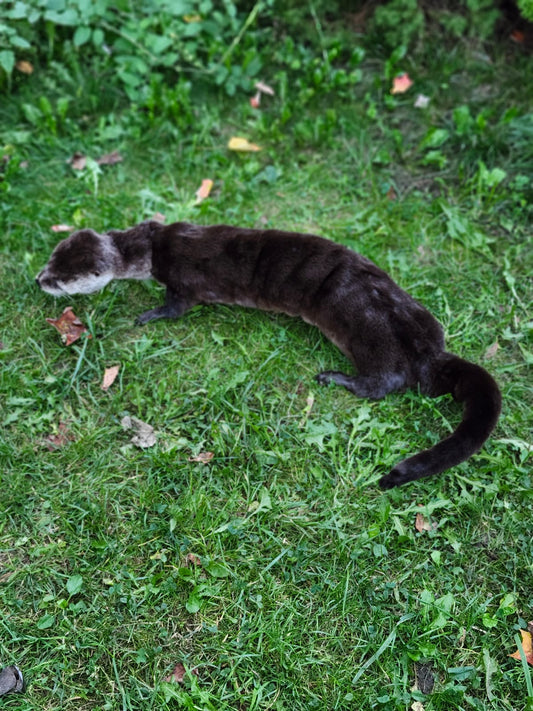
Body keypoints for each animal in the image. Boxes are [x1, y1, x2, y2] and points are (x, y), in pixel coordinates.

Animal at [36, 220, 501, 488]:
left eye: (61, 280)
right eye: (52, 259)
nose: (38, 280)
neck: (154, 246)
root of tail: (428, 351)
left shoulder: (183, 283)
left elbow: (177, 307)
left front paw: (147, 314)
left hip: (371, 342)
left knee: (381, 384)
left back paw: (335, 378)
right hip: (421, 315)